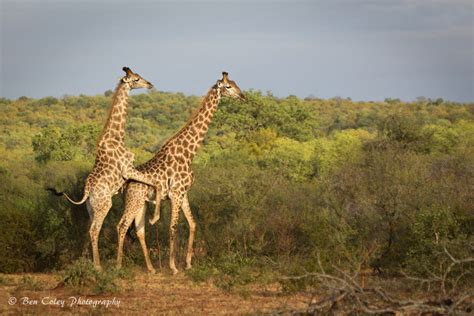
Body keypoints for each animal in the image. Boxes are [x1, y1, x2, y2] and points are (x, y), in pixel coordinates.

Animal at [48, 66, 161, 270]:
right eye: (136, 79)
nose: (150, 84)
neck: (116, 136)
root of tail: (87, 192)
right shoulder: (128, 169)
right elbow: (153, 181)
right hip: (104, 204)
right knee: (94, 230)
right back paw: (98, 266)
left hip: (92, 209)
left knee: (90, 229)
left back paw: (88, 262)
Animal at [116, 71, 246, 274]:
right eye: (228, 86)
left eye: (235, 83)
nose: (242, 96)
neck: (189, 153)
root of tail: (126, 184)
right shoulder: (176, 194)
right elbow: (173, 226)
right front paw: (174, 267)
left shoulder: (184, 193)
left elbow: (192, 224)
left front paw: (188, 263)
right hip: (134, 200)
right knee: (122, 226)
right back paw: (118, 266)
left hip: (140, 203)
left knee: (137, 229)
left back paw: (150, 268)